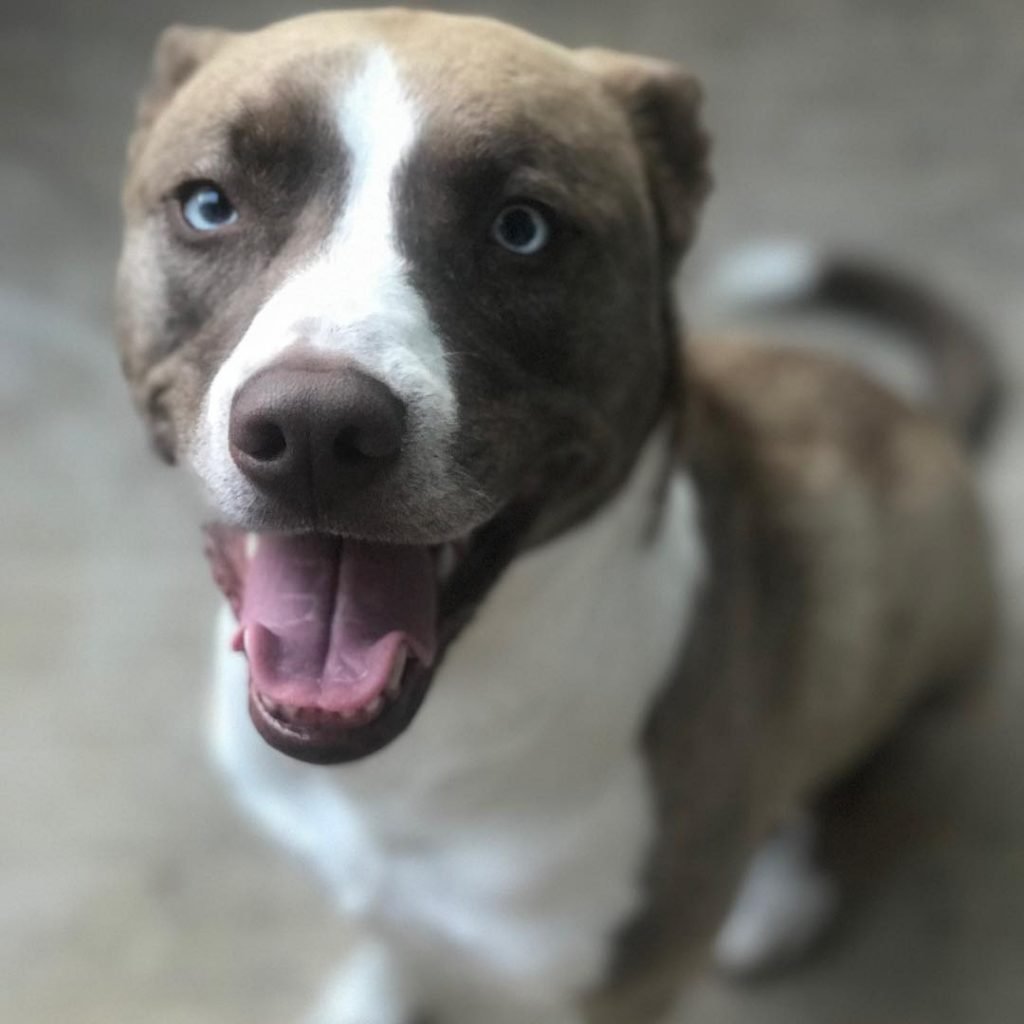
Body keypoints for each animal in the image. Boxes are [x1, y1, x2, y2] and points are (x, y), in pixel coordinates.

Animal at [116, 8, 995, 1024]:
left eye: (522, 229)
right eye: (209, 205)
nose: (313, 432)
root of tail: (929, 423)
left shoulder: (623, 987)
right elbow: (394, 943)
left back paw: (781, 894)